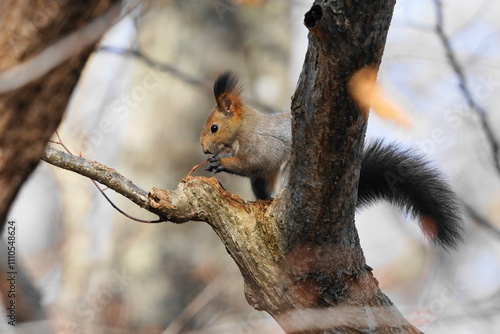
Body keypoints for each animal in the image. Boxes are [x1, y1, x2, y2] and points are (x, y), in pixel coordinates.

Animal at [200, 70, 464, 248]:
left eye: (214, 128)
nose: (203, 149)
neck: (243, 128)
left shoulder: (263, 142)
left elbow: (258, 161)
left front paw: (221, 162)